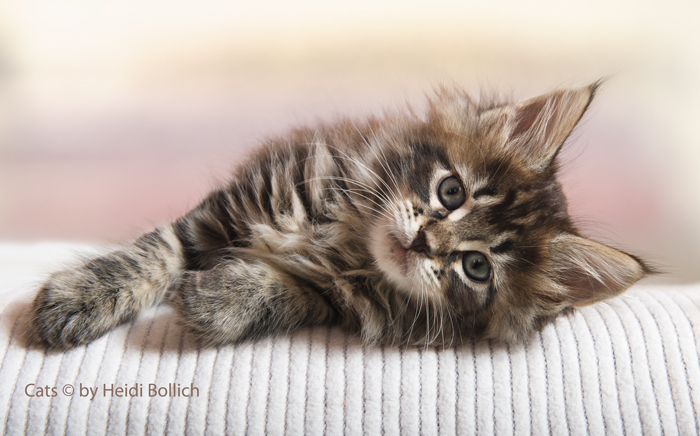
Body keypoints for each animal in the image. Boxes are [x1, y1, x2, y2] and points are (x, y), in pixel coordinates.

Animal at [30, 83, 648, 350]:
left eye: (477, 268)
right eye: (451, 192)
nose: (425, 243)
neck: (344, 235)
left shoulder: (335, 298)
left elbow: (282, 293)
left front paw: (218, 301)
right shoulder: (223, 209)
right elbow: (151, 254)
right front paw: (76, 299)